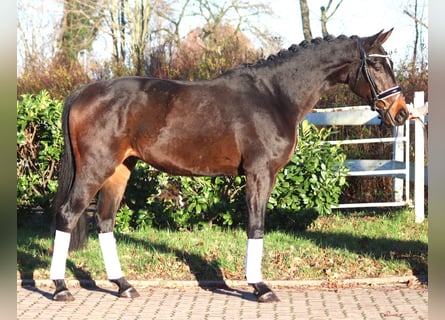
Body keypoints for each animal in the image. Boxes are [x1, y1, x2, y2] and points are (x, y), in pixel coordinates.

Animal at [47, 29, 406, 302]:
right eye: (376, 64)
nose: (401, 112)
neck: (274, 95)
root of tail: (83, 92)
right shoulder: (259, 173)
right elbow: (256, 225)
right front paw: (260, 287)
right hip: (96, 169)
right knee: (68, 215)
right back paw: (61, 287)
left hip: (121, 169)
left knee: (104, 221)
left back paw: (124, 285)